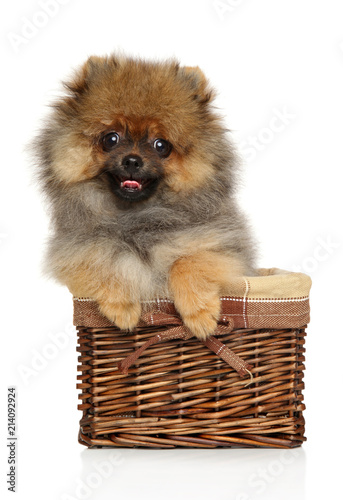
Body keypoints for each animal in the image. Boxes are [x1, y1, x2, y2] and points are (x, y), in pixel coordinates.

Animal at [35, 56, 256, 342]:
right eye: (111, 138)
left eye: (161, 145)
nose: (132, 160)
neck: (137, 215)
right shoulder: (76, 250)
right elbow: (104, 258)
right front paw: (122, 306)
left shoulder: (225, 247)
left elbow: (188, 261)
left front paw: (199, 313)